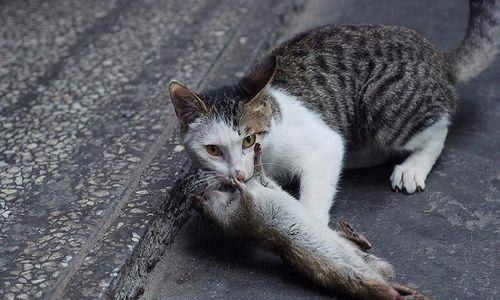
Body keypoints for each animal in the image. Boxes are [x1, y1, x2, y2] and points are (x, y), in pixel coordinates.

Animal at [170, 0, 498, 224]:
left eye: (249, 140)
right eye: (213, 150)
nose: (238, 173)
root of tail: (438, 57)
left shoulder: (322, 143)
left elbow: (319, 178)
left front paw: (309, 227)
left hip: (382, 103)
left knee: (438, 128)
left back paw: (413, 165)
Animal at [197, 144, 428, 298]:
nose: (202, 195)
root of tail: (380, 274)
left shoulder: (263, 188)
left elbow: (260, 175)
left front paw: (254, 157)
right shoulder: (245, 216)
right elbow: (247, 199)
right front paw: (238, 182)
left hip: (365, 261)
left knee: (367, 250)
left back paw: (353, 233)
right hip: (356, 278)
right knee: (386, 292)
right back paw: (404, 294)